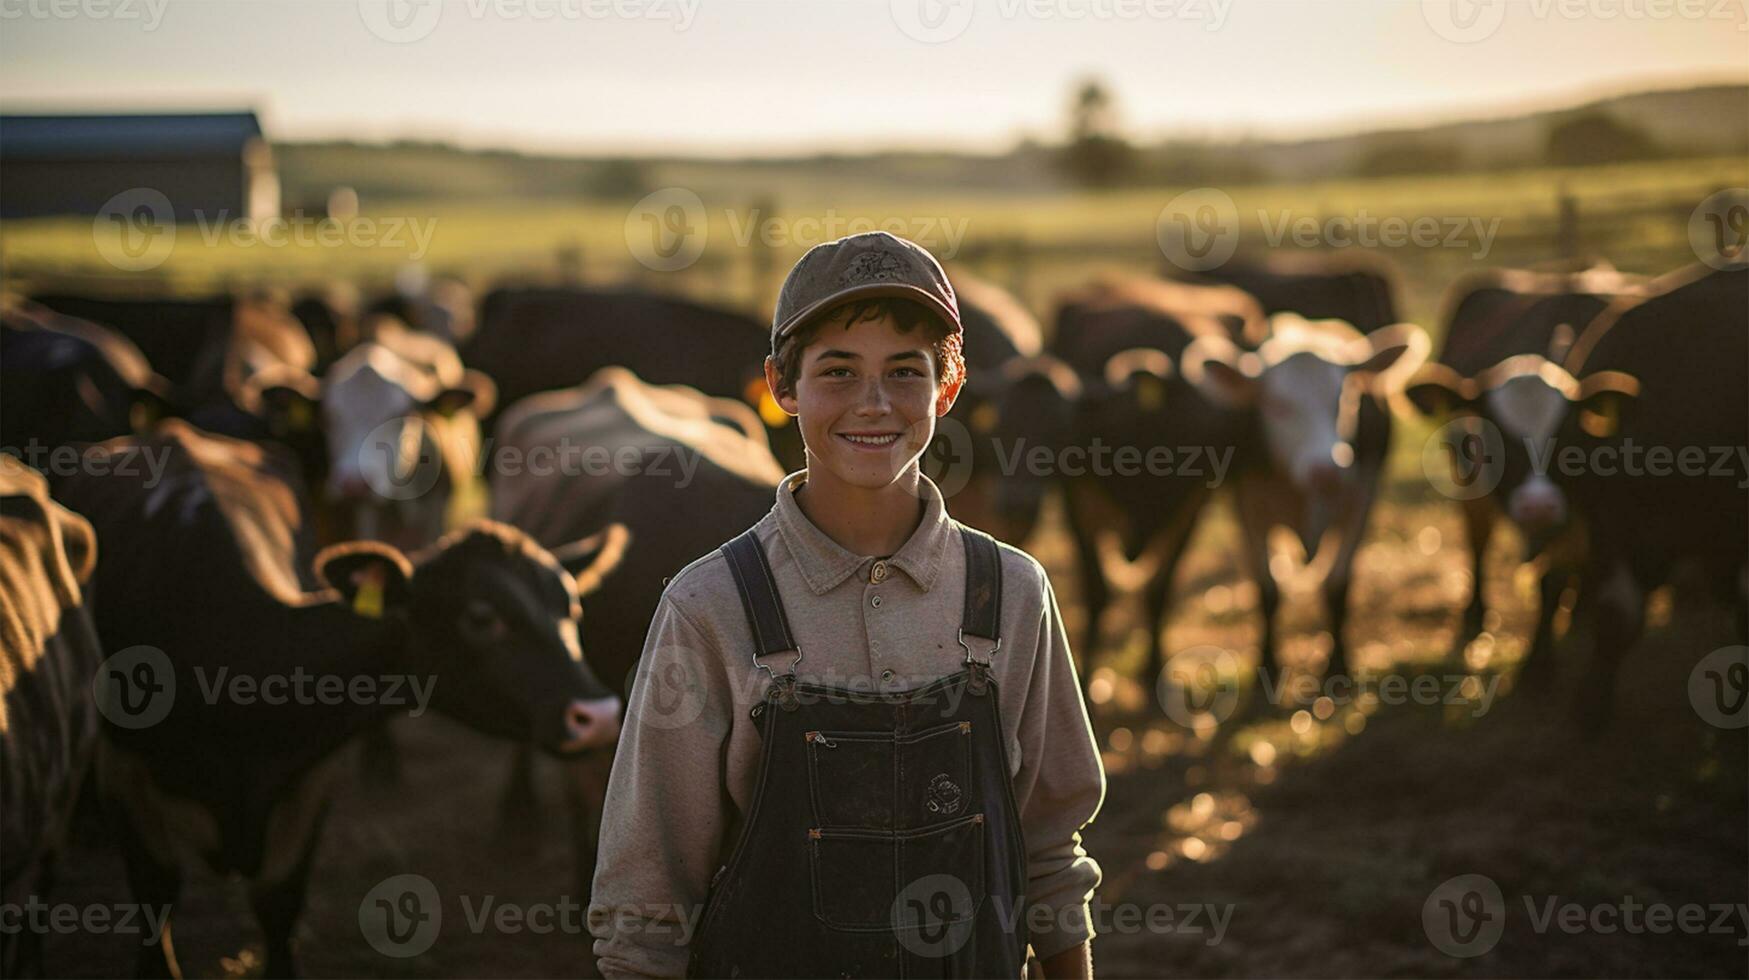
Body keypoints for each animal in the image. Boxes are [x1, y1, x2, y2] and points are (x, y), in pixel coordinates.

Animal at [47, 423, 626, 980]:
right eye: (481, 617)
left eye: (572, 606)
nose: (598, 716)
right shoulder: (123, 768)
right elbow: (155, 891)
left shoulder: (312, 776)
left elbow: (279, 902)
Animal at [1182, 313, 1427, 689]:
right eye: (1276, 405)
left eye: (1345, 399)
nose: (1327, 471)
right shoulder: (1248, 510)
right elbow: (1267, 588)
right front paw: (1267, 665)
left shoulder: (1361, 502)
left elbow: (1337, 585)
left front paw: (1338, 664)